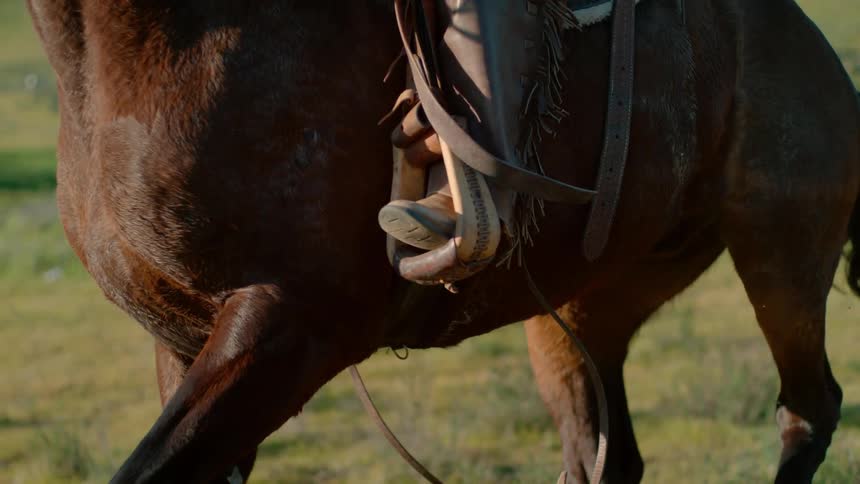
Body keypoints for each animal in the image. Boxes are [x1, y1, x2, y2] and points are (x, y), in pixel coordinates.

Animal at [26, 0, 859, 482]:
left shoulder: (286, 331)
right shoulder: (181, 339)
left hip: (781, 253)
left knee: (807, 409)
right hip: (587, 304)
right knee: (605, 455)